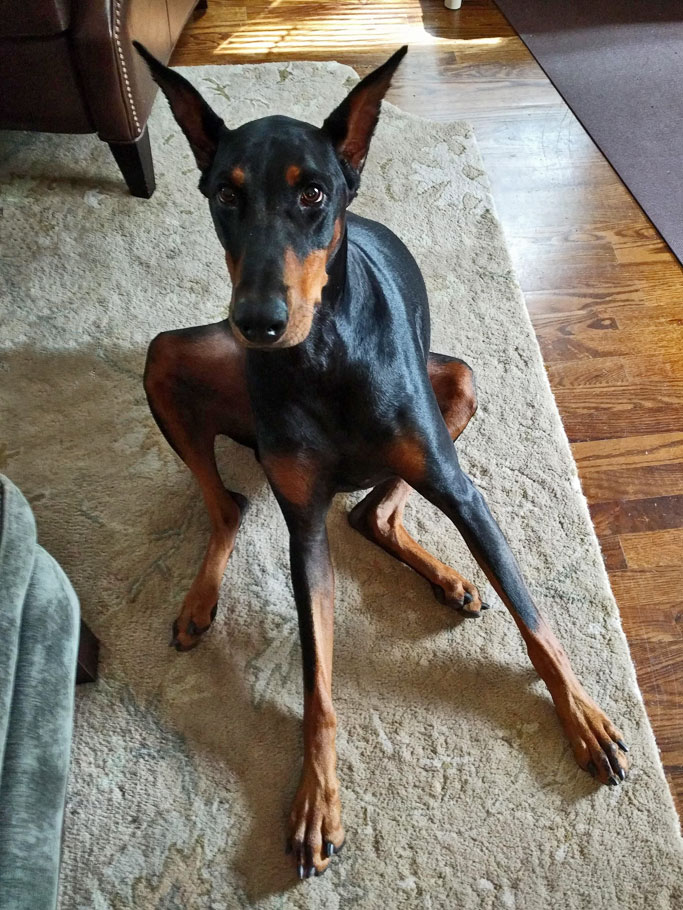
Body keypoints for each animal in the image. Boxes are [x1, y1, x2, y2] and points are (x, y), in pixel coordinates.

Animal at [135, 43, 629, 879]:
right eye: (224, 194)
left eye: (312, 193)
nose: (258, 322)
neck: (324, 357)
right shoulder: (303, 530)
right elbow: (318, 688)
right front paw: (314, 800)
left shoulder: (462, 492)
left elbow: (536, 622)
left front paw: (582, 719)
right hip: (168, 358)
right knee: (236, 503)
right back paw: (202, 602)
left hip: (454, 383)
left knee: (371, 509)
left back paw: (451, 580)